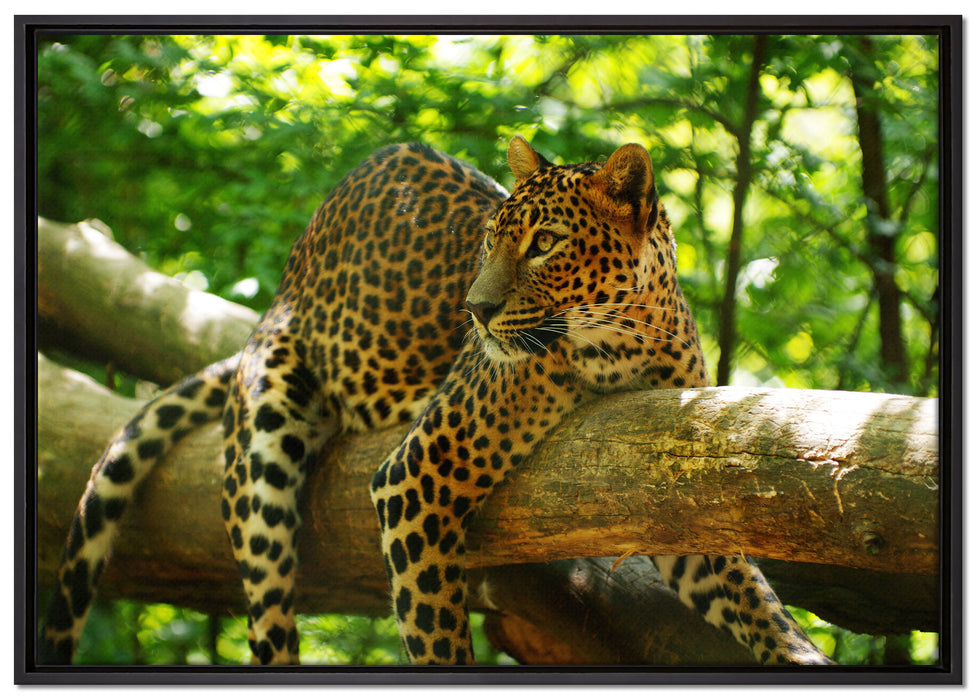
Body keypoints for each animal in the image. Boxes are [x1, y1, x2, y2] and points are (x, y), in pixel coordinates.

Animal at [40, 136, 832, 666]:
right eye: (491, 239)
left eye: (545, 243)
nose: (475, 311)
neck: (624, 341)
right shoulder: (415, 476)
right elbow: (436, 632)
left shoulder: (667, 489)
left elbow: (756, 601)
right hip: (265, 440)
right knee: (269, 614)